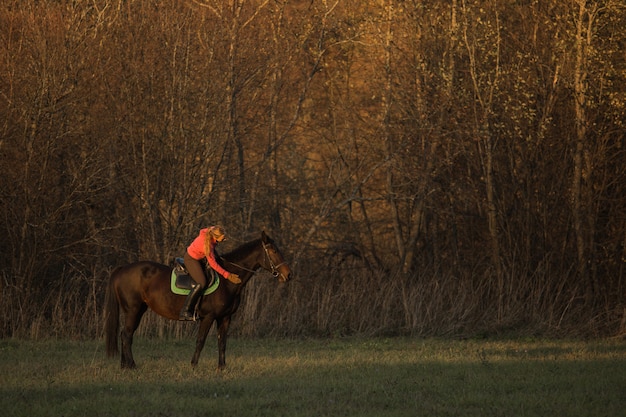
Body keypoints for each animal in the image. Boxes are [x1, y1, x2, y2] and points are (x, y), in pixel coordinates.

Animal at [106, 231, 292, 370]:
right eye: (274, 251)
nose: (288, 274)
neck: (227, 280)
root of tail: (122, 268)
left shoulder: (225, 317)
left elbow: (222, 342)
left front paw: (222, 368)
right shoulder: (208, 317)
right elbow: (201, 340)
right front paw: (194, 365)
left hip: (137, 310)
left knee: (125, 334)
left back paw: (124, 366)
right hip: (133, 310)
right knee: (127, 335)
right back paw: (132, 365)